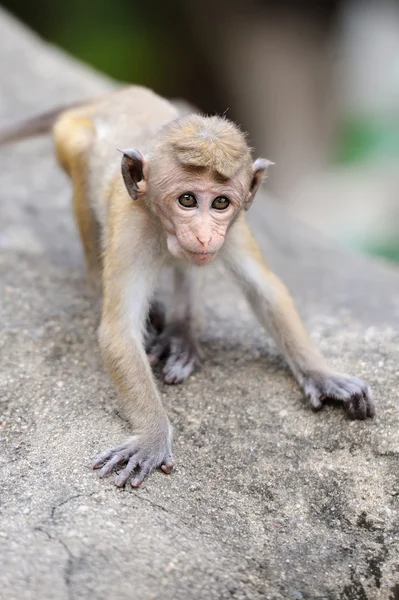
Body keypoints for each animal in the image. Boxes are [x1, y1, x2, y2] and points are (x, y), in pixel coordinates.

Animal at [0, 84, 376, 488]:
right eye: (187, 199)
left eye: (221, 202)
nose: (204, 234)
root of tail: (113, 95)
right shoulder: (132, 226)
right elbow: (119, 331)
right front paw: (152, 437)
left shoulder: (235, 227)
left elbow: (266, 292)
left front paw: (324, 376)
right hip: (71, 139)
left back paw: (182, 332)